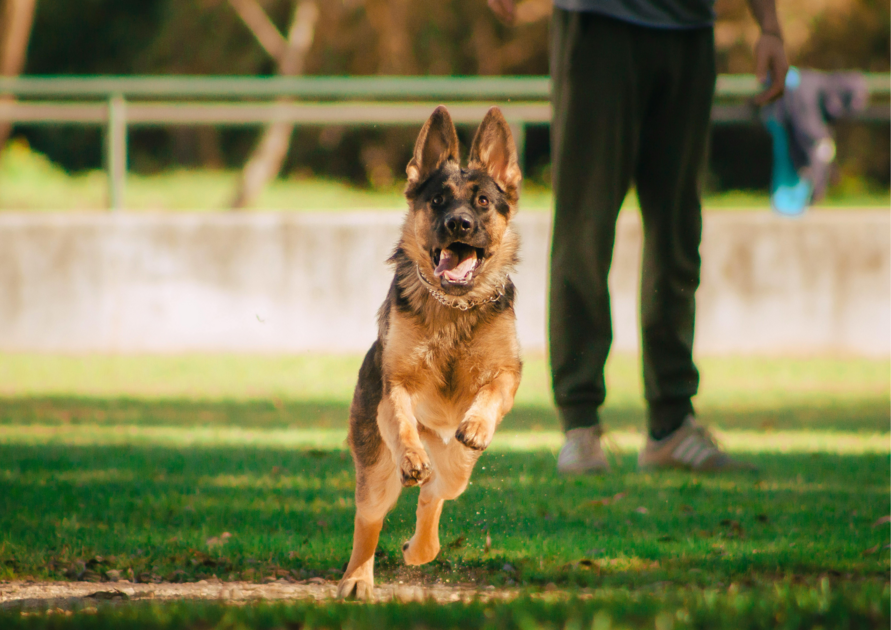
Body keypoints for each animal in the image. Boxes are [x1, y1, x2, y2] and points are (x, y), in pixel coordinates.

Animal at [340, 106, 524, 600]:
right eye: (438, 200)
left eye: (483, 202)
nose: (459, 224)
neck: (453, 307)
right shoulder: (395, 388)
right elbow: (404, 420)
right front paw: (412, 455)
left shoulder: (507, 372)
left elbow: (492, 391)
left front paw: (476, 424)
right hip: (376, 469)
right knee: (370, 518)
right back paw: (357, 578)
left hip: (454, 464)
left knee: (442, 488)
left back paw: (421, 545)